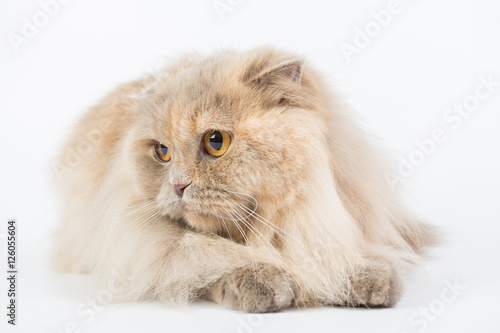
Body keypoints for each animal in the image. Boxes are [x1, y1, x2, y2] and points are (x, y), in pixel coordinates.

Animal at [51, 46, 438, 312]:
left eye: (215, 142)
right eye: (162, 152)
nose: (178, 186)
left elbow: (329, 252)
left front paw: (360, 277)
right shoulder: (141, 244)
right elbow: (203, 259)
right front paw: (262, 281)